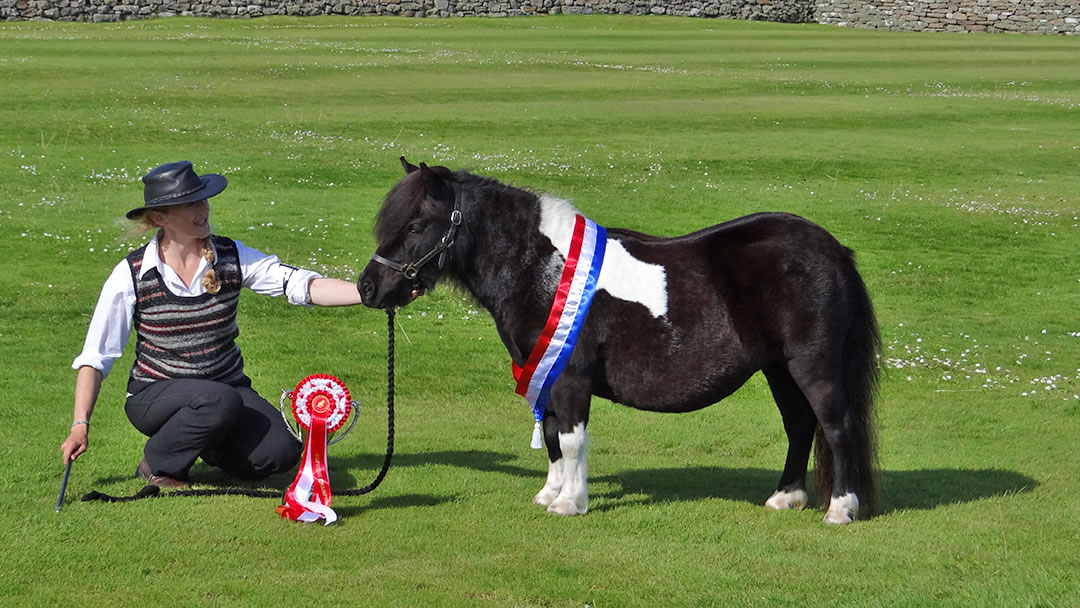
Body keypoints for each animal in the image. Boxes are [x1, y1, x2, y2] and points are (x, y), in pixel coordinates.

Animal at [358, 159, 881, 524]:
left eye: (415, 226)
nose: (367, 289)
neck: (542, 270)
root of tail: (832, 249)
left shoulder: (569, 376)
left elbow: (571, 439)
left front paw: (570, 503)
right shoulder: (544, 375)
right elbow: (552, 437)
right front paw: (550, 493)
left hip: (811, 365)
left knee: (836, 427)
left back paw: (840, 508)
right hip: (779, 368)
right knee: (800, 425)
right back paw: (785, 497)